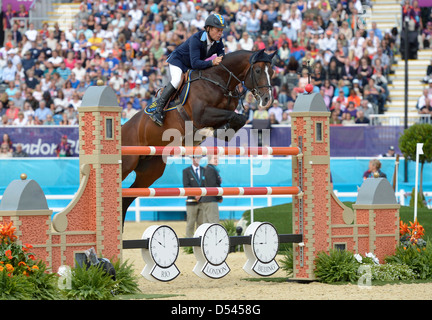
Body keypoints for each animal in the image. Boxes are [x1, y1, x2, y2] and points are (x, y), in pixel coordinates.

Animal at [120, 49, 276, 225]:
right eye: (258, 71)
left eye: (272, 72)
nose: (267, 99)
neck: (220, 81)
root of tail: (124, 126)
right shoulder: (201, 115)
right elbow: (232, 117)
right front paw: (211, 131)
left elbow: (238, 118)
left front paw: (218, 131)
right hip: (127, 163)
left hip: (150, 172)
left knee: (126, 199)